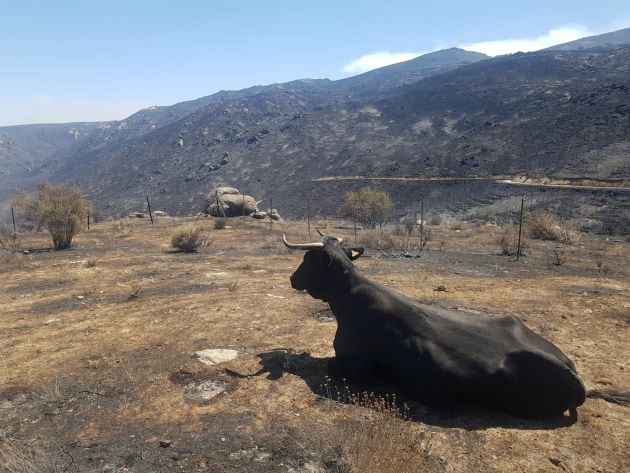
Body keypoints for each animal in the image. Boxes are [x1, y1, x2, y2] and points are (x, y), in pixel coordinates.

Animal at [288, 232, 630, 416]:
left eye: (307, 260)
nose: (292, 279)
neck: (346, 297)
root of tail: (574, 375)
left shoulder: (355, 365)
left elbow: (331, 365)